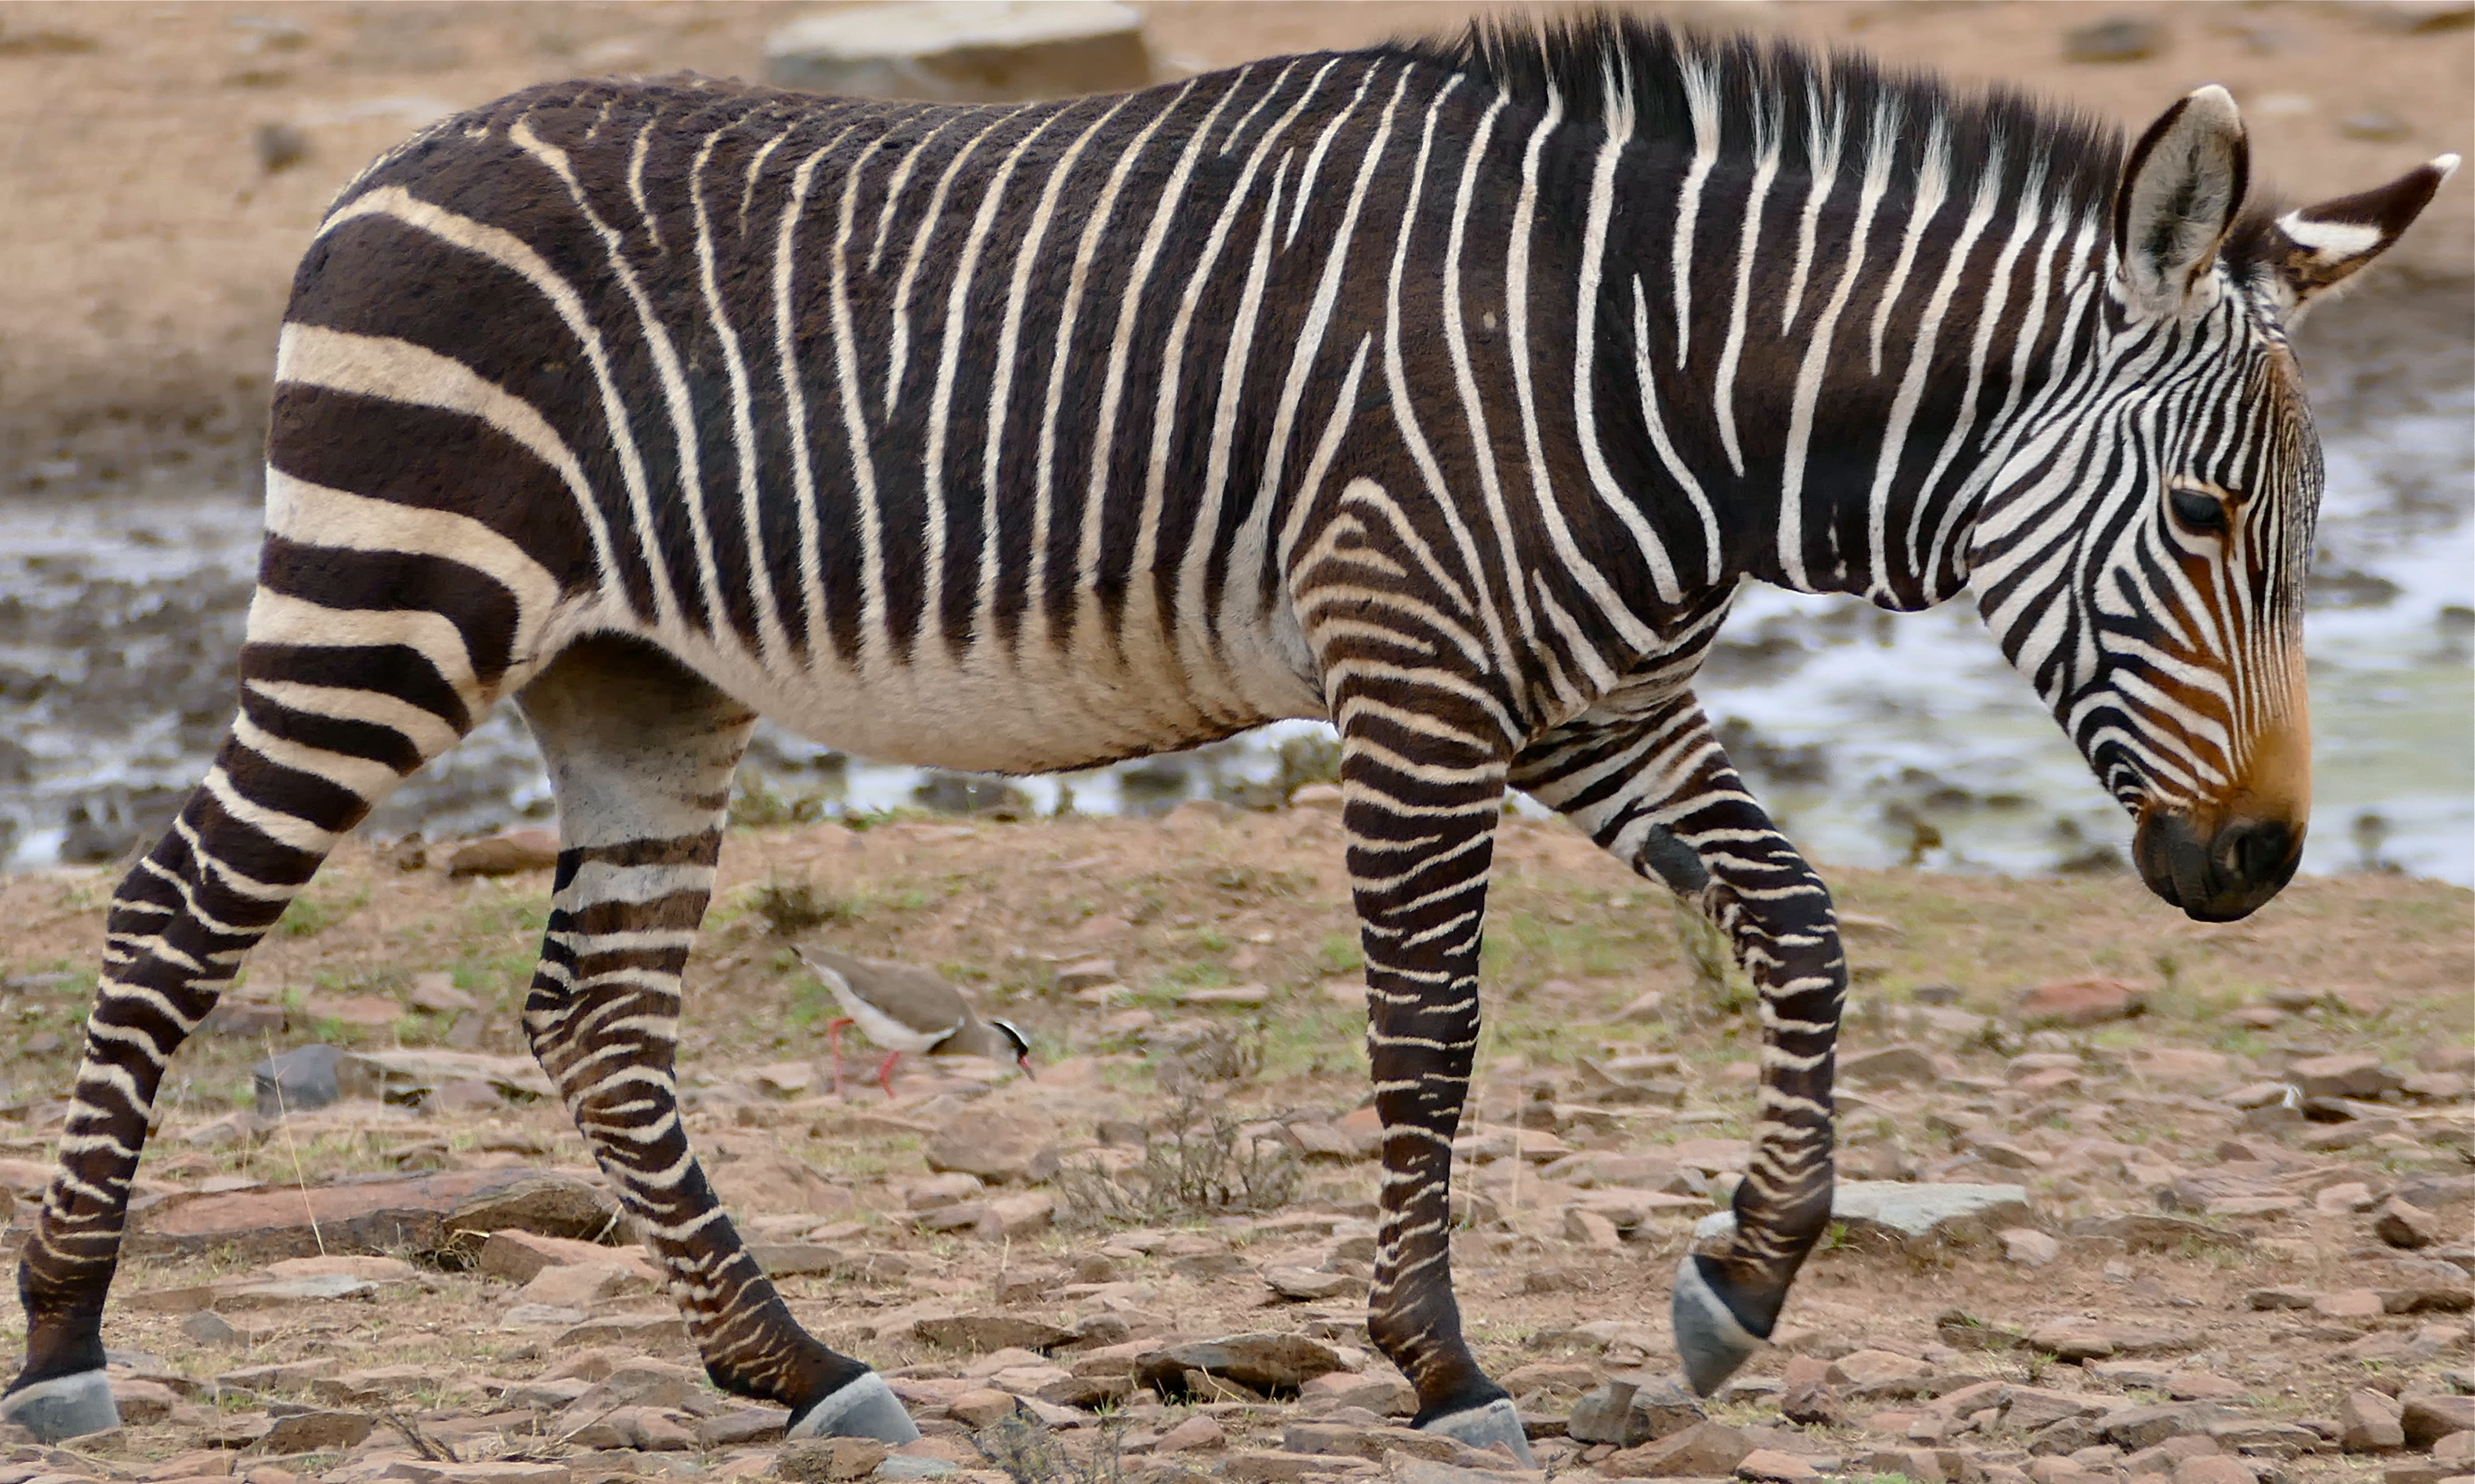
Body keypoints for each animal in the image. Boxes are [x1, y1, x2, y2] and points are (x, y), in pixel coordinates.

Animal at [3, 12, 2453, 1454]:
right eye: (2203, 517)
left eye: (2313, 529)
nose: (2255, 862)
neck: (1663, 367)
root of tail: (395, 162)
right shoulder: (1419, 670)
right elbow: (1429, 1027)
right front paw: (1444, 1365)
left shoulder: (1593, 703)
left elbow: (1802, 930)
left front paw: (1734, 1288)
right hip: (392, 599)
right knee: (167, 912)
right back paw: (66, 1341)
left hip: (641, 679)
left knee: (592, 1016)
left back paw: (791, 1363)